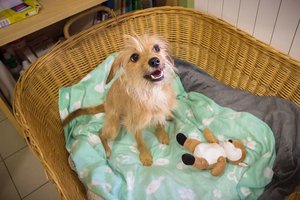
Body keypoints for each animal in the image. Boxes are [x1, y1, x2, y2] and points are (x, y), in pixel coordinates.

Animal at [62, 34, 177, 166]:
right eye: (134, 57)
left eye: (156, 48)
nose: (154, 61)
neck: (151, 91)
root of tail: (105, 104)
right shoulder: (134, 124)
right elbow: (140, 141)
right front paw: (145, 155)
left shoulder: (161, 110)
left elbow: (160, 123)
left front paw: (162, 134)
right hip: (113, 128)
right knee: (100, 132)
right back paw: (107, 150)